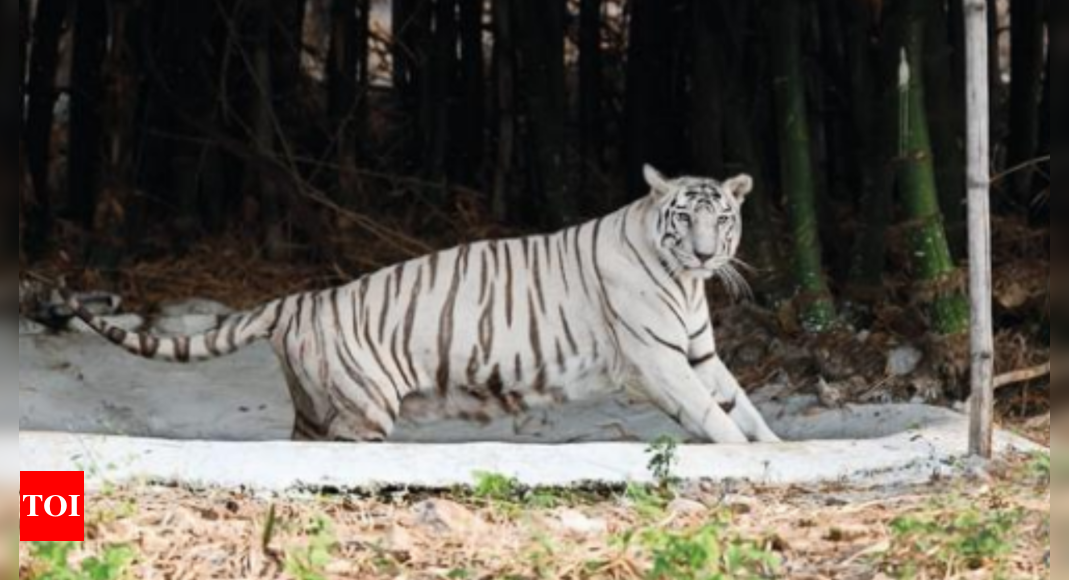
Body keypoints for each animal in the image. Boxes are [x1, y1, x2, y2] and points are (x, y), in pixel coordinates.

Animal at [68, 166, 786, 444]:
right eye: (682, 219)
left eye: (721, 219)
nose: (704, 254)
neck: (685, 283)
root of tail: (301, 302)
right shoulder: (657, 362)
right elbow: (716, 421)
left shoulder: (700, 356)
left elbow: (744, 409)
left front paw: (775, 449)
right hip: (362, 408)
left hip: (314, 410)